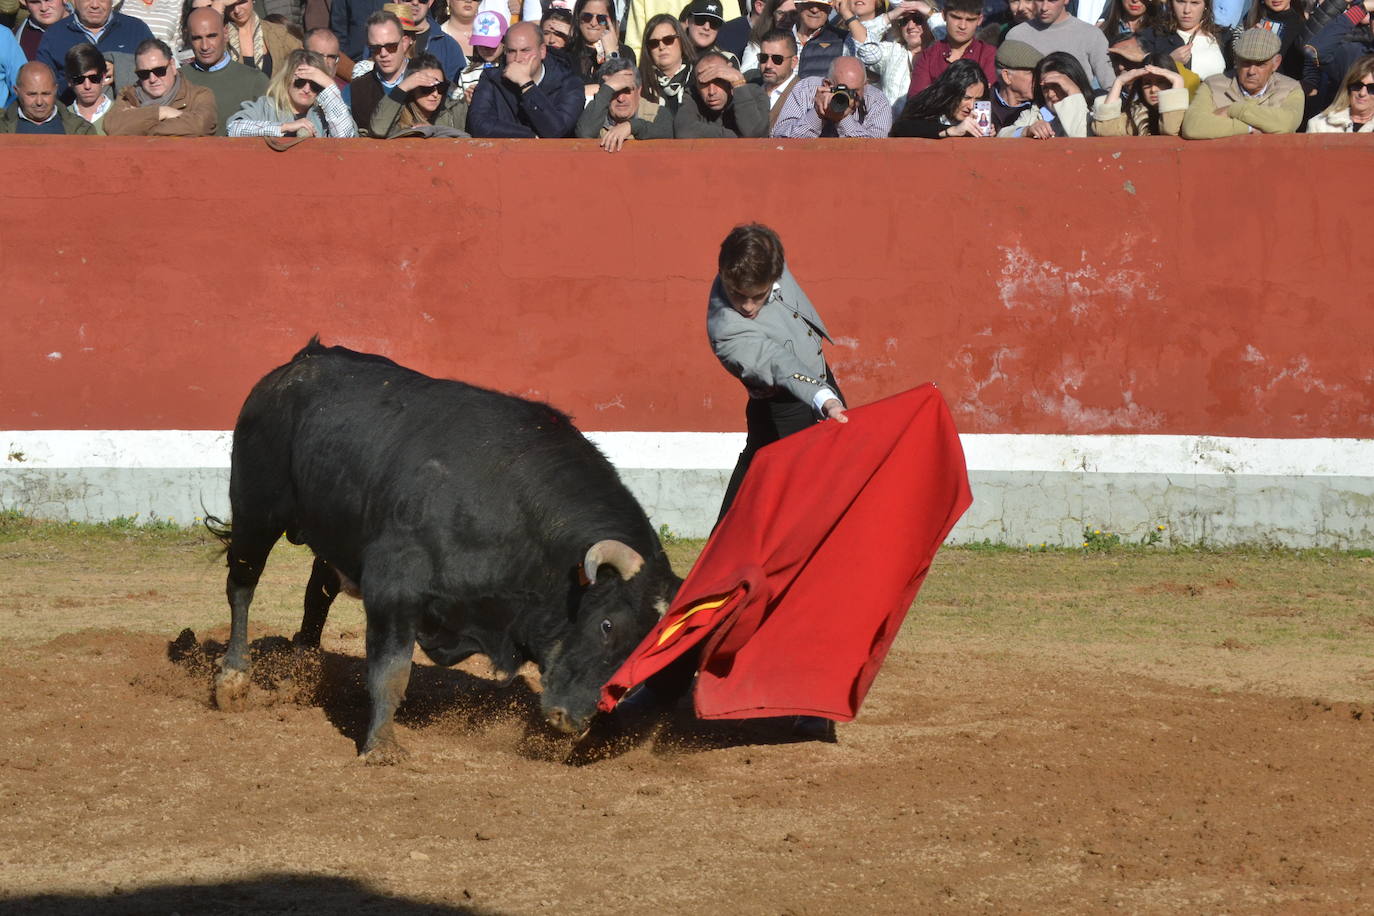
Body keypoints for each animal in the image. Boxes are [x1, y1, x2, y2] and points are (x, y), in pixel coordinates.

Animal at [210, 340, 681, 763]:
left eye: (644, 651)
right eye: (606, 625)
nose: (573, 720)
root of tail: (301, 361)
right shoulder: (393, 586)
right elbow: (392, 670)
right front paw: (382, 747)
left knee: (316, 594)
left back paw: (301, 674)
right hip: (256, 508)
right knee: (242, 585)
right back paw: (233, 679)